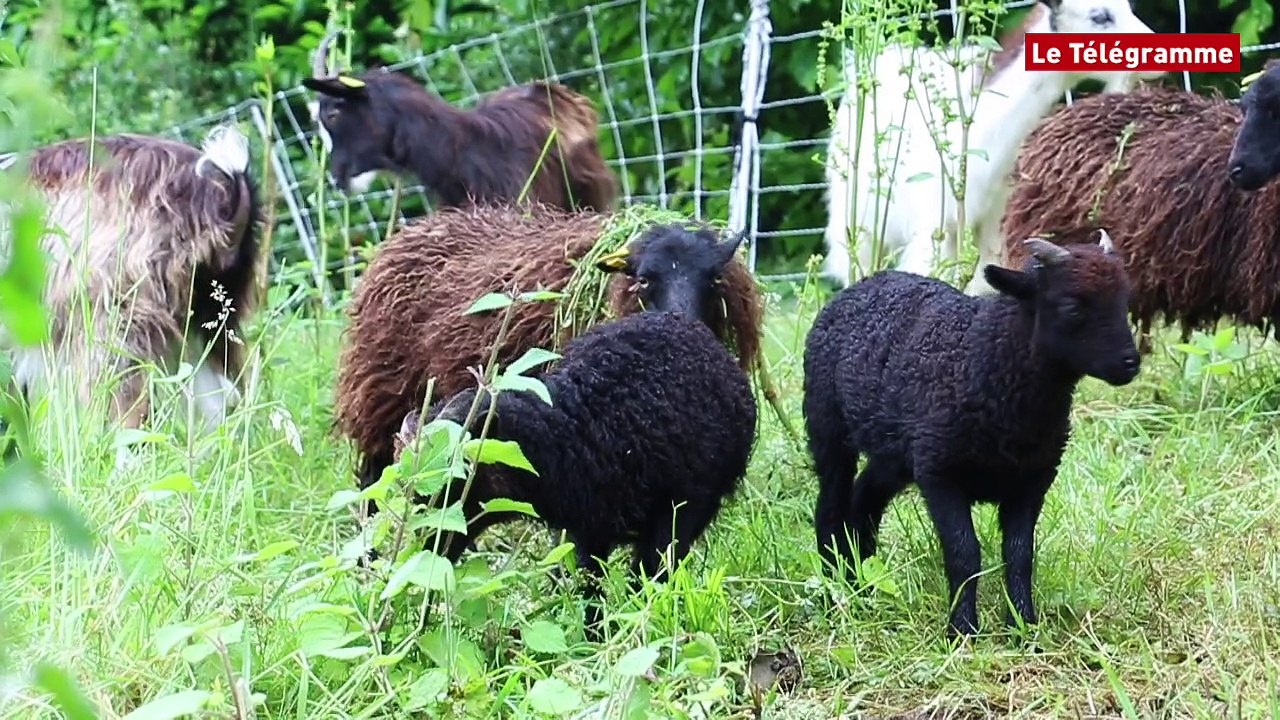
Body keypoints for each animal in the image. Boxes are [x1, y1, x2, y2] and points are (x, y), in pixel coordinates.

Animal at [333, 203, 764, 493]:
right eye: (642, 280)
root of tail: (413, 230)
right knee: (375, 479)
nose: (683, 325)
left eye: (714, 279)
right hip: (383, 397)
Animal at [397, 309, 758, 634]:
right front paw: (595, 636)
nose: (427, 560)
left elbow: (650, 575)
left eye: (457, 484)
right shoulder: (584, 531)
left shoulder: (680, 510)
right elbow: (589, 585)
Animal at [802, 229, 1141, 636]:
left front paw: (1023, 626)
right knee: (831, 505)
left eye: (1124, 300)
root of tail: (863, 284)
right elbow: (964, 553)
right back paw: (833, 585)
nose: (1130, 363)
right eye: (1071, 307)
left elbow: (1020, 555)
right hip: (827, 426)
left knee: (865, 498)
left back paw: (861, 582)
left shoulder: (1032, 480)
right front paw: (962, 629)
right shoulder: (940, 474)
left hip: (896, 452)